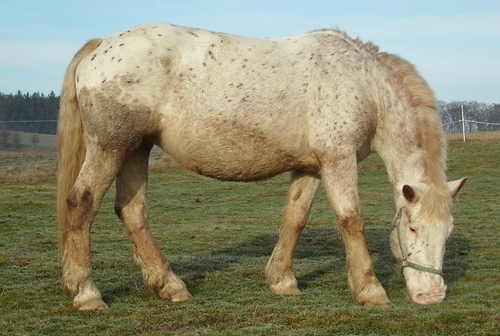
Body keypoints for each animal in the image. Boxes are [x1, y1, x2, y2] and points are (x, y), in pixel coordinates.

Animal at [56, 23, 466, 310]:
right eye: (412, 229)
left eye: (446, 233)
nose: (431, 296)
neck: (364, 84)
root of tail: (100, 46)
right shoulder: (338, 158)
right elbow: (351, 220)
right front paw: (370, 290)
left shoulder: (312, 167)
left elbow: (295, 218)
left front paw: (282, 281)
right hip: (111, 146)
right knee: (82, 204)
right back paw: (88, 294)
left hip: (136, 148)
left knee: (132, 211)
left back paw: (169, 285)